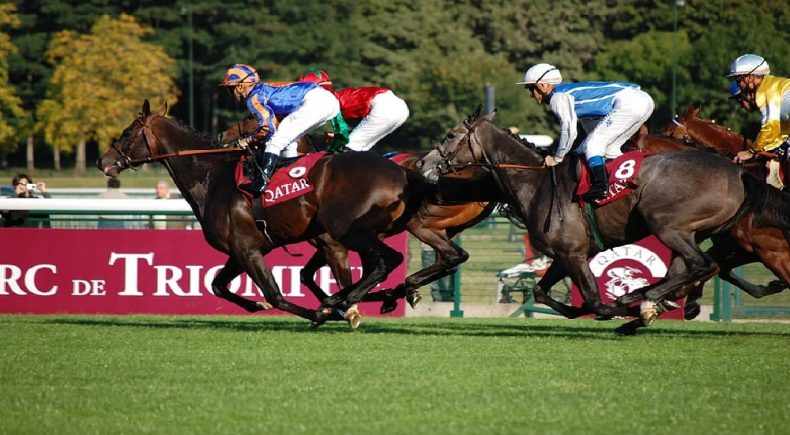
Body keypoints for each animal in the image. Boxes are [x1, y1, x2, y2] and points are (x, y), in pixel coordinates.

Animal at [100, 101, 434, 328]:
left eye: (127, 133)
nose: (104, 161)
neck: (213, 177)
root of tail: (403, 173)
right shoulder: (240, 250)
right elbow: (218, 286)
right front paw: (259, 305)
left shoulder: (252, 250)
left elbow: (276, 295)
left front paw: (322, 312)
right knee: (379, 266)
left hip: (350, 231)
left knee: (387, 260)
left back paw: (347, 300)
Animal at [418, 114, 790, 328]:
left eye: (450, 135)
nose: (424, 163)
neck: (538, 183)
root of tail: (738, 171)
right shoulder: (566, 254)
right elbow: (540, 290)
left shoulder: (572, 253)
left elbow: (594, 299)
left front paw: (620, 308)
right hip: (699, 233)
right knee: (696, 268)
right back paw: (652, 300)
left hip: (668, 226)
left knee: (702, 264)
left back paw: (640, 299)